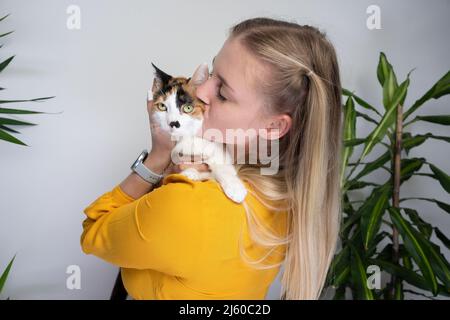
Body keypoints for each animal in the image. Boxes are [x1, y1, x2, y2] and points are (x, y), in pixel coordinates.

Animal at [148, 62, 248, 202]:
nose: (173, 123)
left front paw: (235, 188)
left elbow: (222, 163)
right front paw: (190, 173)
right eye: (162, 106)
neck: (186, 139)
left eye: (188, 108)